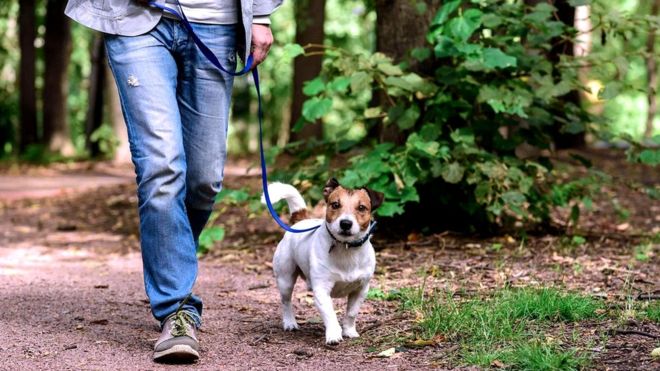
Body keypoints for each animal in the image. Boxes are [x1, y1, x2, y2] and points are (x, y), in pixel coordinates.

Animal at [264, 179, 384, 344]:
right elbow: (330, 314)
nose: (345, 223)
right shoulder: (322, 289)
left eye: (361, 207)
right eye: (335, 204)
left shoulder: (361, 290)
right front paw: (333, 335)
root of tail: (301, 221)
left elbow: (351, 313)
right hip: (285, 279)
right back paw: (290, 323)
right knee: (286, 302)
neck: (346, 249)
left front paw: (349, 331)